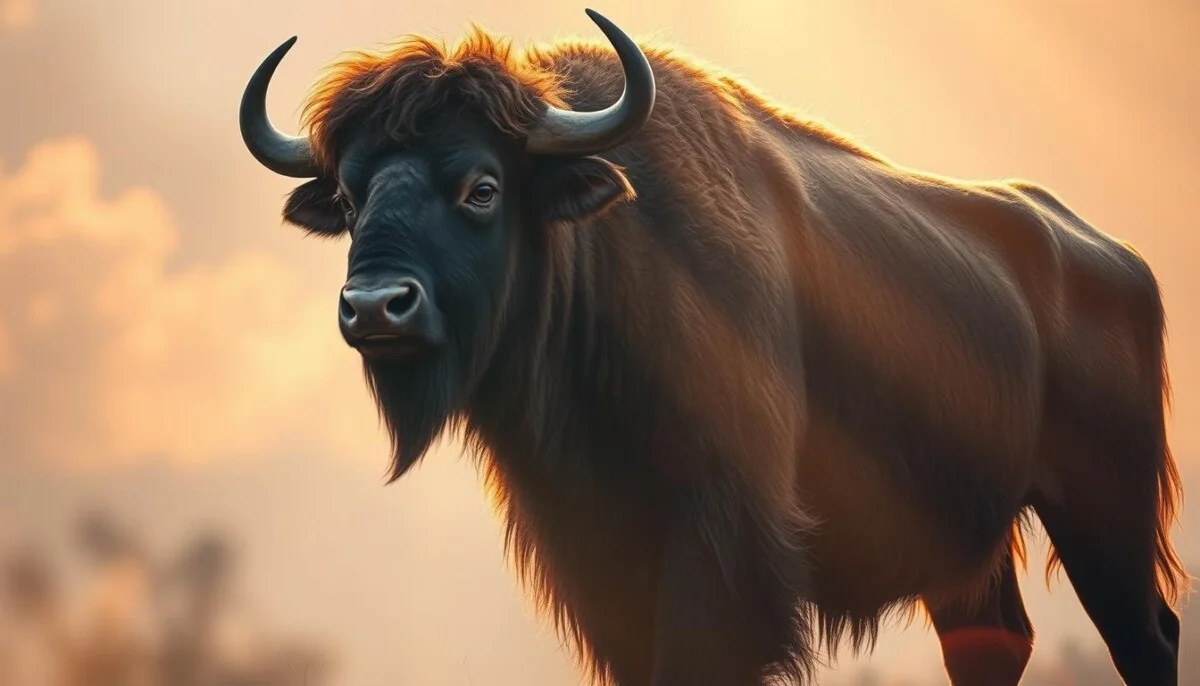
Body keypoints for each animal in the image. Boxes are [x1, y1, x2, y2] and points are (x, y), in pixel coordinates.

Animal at [238, 10, 1186, 685]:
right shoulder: (598, 555)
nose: (376, 307)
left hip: (1106, 518)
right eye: (350, 197)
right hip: (972, 547)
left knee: (1148, 636)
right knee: (990, 645)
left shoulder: (722, 550)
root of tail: (1113, 259)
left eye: (482, 186)